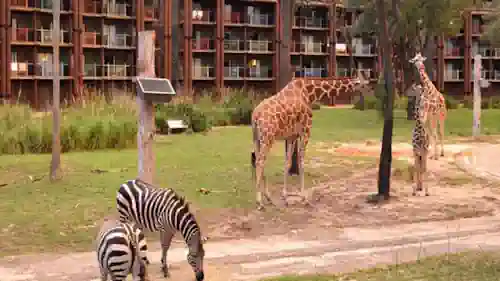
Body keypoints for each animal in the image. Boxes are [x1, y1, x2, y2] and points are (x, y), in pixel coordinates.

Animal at [250, 69, 372, 209]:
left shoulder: (292, 136)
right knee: (260, 161)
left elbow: (288, 162)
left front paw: (285, 197)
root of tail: (255, 116)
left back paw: (268, 198)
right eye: (364, 85)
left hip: (257, 138)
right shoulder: (306, 130)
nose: (371, 93)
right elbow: (301, 160)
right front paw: (304, 198)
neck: (310, 94)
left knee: (258, 160)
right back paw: (259, 201)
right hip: (268, 137)